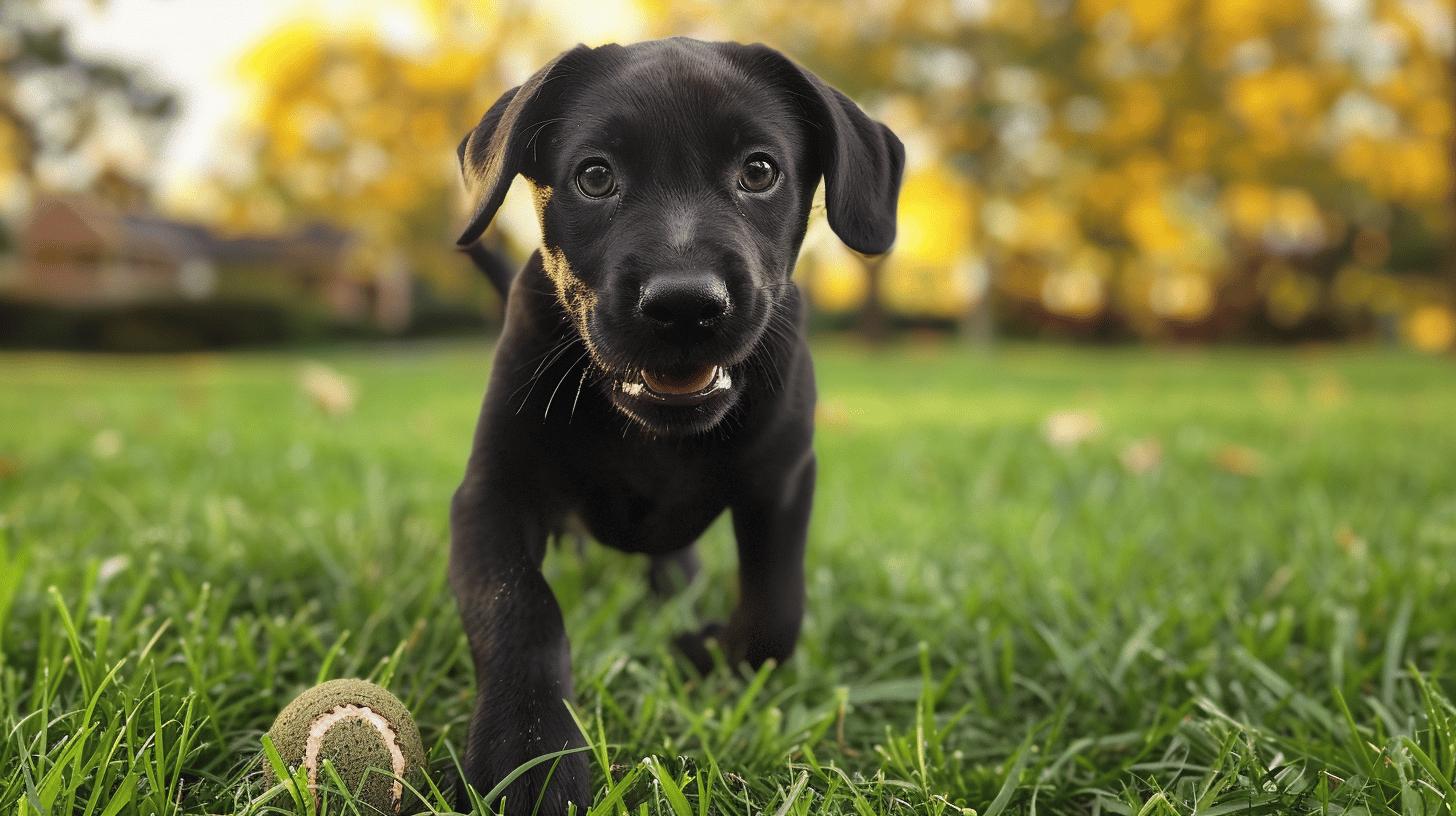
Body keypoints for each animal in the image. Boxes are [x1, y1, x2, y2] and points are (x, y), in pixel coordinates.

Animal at [448, 36, 902, 810]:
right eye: (595, 176)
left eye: (760, 171)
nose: (686, 304)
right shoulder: (490, 495)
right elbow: (521, 608)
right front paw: (528, 759)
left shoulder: (784, 480)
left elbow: (778, 606)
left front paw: (715, 656)